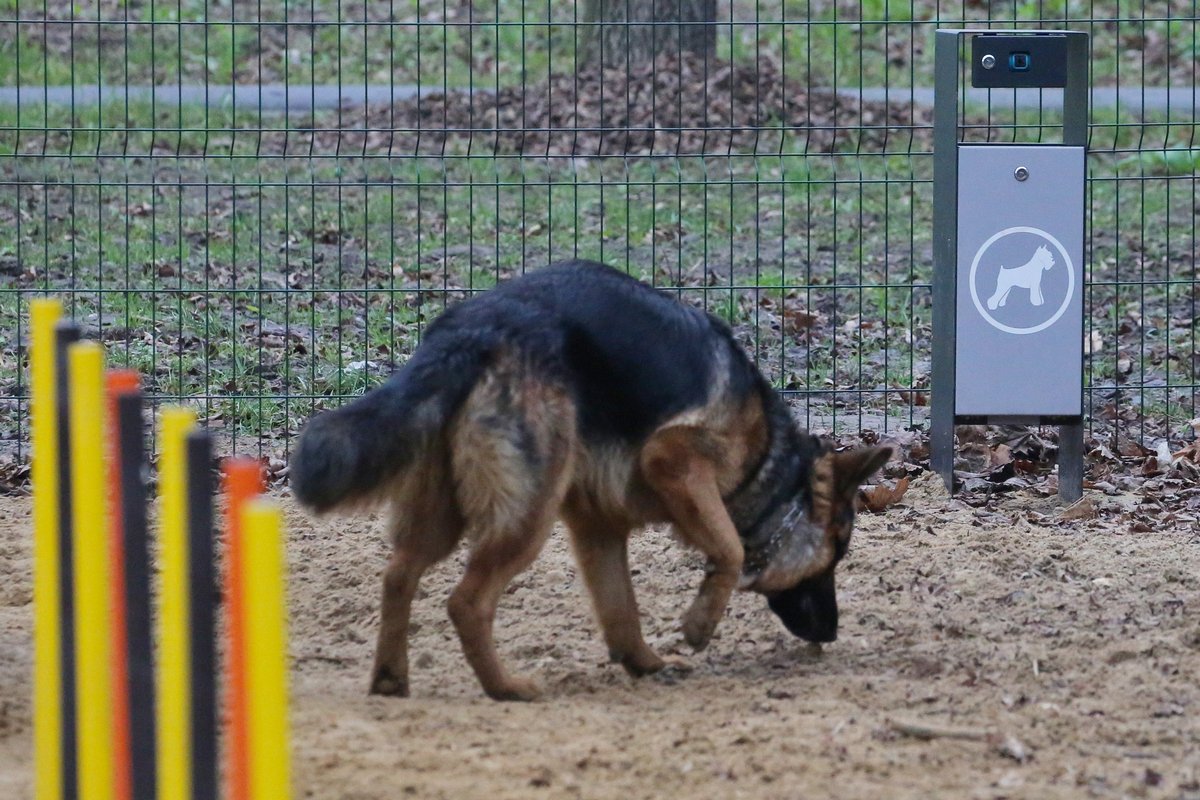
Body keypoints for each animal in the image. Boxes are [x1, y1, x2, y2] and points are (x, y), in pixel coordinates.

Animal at [290, 260, 892, 695]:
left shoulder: (596, 526)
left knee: (397, 575)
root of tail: (475, 330)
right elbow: (728, 548)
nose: (833, 631)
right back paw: (507, 688)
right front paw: (698, 627)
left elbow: (620, 608)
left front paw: (647, 664)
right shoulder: (674, 459)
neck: (767, 458)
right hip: (527, 515)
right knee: (466, 601)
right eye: (837, 555)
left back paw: (391, 679)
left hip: (444, 515)